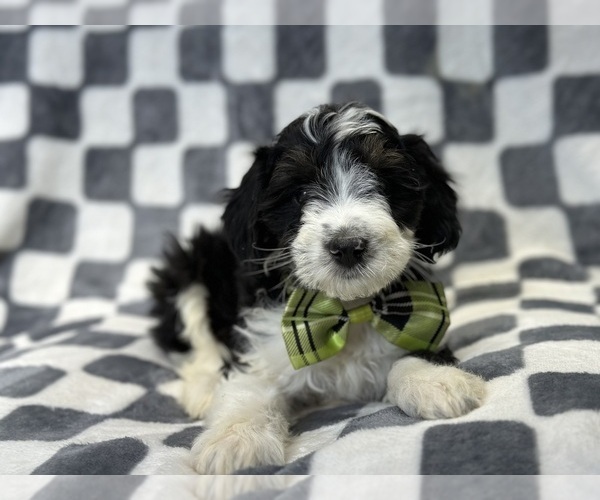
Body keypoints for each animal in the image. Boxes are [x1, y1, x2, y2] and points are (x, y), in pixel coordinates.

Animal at [148, 101, 486, 472]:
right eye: (299, 193)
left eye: (385, 184)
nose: (348, 245)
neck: (347, 309)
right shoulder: (260, 342)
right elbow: (250, 387)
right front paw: (236, 439)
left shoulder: (418, 315)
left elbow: (412, 352)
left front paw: (436, 380)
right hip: (189, 266)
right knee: (197, 339)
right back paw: (203, 388)